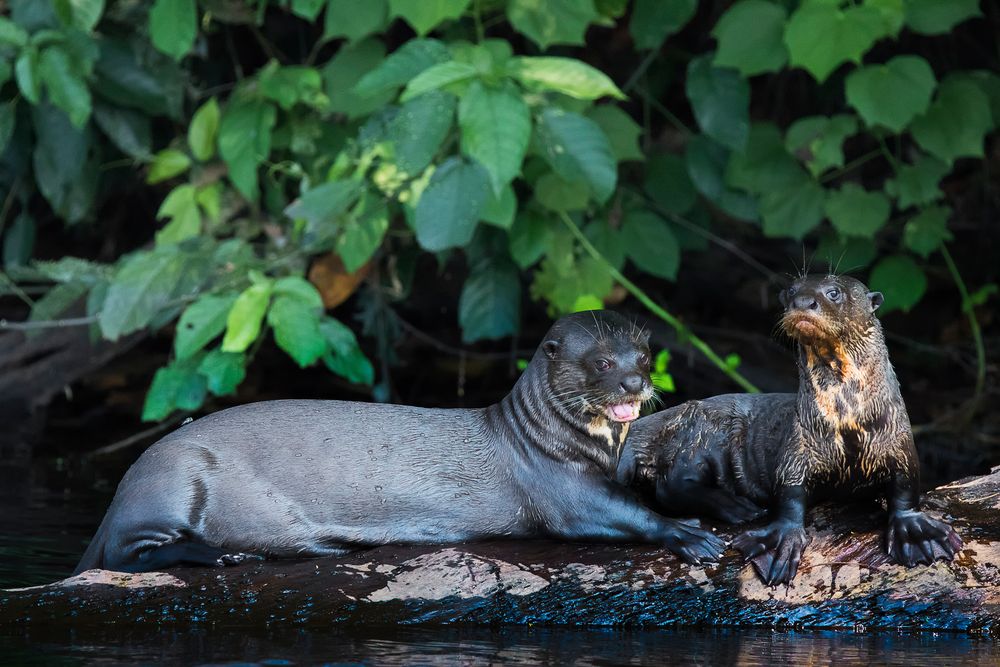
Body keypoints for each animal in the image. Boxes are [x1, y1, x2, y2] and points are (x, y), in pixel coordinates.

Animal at [72, 310, 728, 576]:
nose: (634, 383)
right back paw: (222, 556)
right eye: (601, 363)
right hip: (173, 477)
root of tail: (124, 485)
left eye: (643, 356)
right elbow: (623, 514)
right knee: (125, 554)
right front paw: (689, 534)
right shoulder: (560, 489)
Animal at [624, 276, 960, 584]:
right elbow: (790, 495)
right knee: (671, 486)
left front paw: (916, 532)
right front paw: (779, 543)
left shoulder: (899, 442)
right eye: (790, 292)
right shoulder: (797, 448)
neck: (847, 420)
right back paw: (737, 507)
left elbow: (906, 488)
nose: (803, 302)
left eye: (833, 292)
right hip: (699, 433)